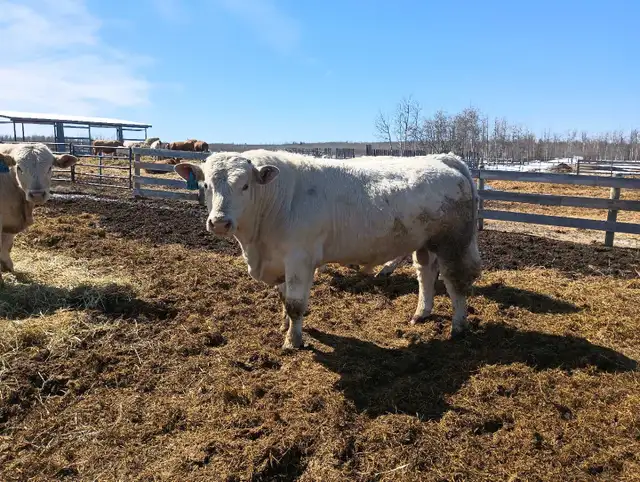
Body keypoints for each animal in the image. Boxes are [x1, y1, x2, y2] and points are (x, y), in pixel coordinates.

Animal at [0, 144, 78, 285]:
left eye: (50, 167)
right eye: (19, 167)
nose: (37, 195)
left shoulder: (9, 221)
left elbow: (7, 245)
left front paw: (8, 267)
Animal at [174, 150, 481, 349]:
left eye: (245, 185)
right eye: (206, 184)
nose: (219, 222)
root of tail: (444, 158)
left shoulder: (300, 259)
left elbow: (295, 304)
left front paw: (293, 341)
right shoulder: (279, 261)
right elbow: (284, 299)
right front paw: (284, 326)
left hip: (453, 242)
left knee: (455, 282)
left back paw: (458, 326)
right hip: (424, 243)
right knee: (426, 274)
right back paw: (421, 313)